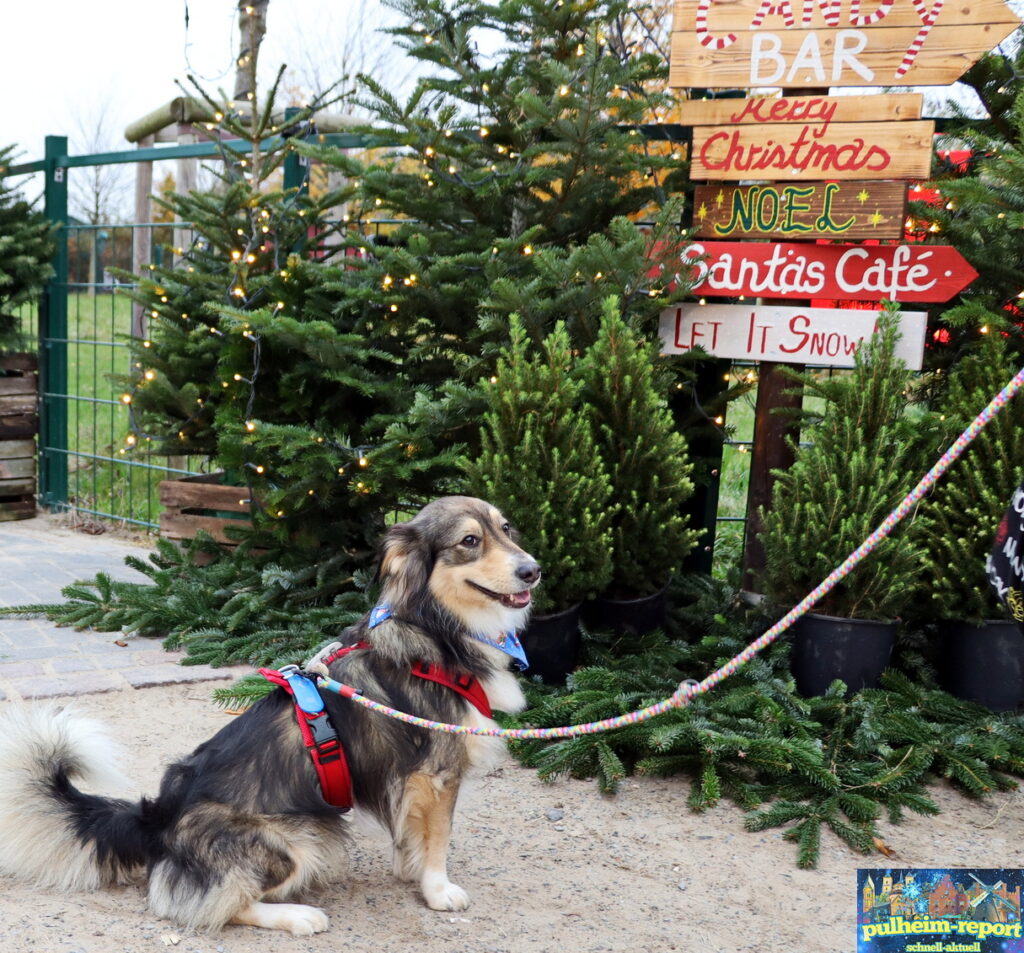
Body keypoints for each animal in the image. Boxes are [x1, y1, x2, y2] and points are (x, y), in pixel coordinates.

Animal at [0, 499, 544, 937]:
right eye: (469, 541)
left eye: (507, 528)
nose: (533, 570)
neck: (437, 630)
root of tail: (157, 819)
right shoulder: (436, 772)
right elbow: (439, 839)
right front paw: (437, 890)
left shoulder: (410, 782)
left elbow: (410, 834)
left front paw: (410, 872)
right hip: (302, 838)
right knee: (209, 906)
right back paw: (300, 916)